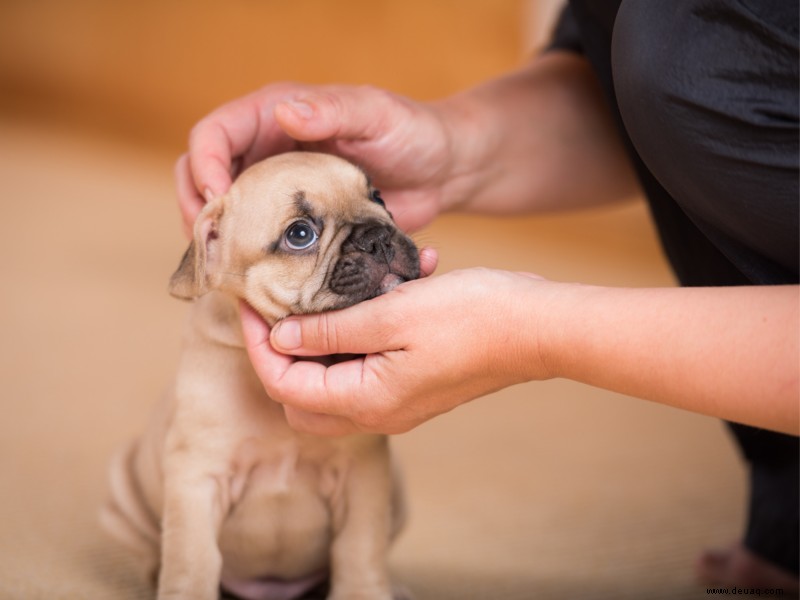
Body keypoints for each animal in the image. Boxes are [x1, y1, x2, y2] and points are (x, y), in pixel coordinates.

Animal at [101, 152, 418, 596]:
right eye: (300, 234)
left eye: (379, 197)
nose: (379, 236)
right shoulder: (197, 480)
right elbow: (192, 560)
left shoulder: (364, 477)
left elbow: (359, 551)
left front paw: (364, 593)